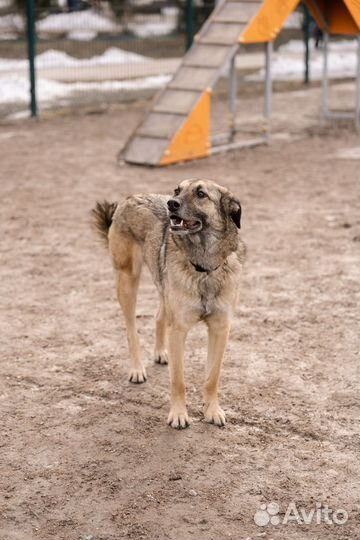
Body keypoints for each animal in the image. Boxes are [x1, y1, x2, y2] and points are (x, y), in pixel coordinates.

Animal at [91, 179, 246, 428]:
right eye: (177, 190)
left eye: (201, 194)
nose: (171, 204)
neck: (203, 268)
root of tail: (130, 198)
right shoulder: (179, 330)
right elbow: (178, 379)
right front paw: (179, 415)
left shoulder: (220, 329)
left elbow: (212, 377)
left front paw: (212, 411)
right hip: (127, 281)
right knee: (131, 330)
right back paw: (137, 369)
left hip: (163, 288)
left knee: (158, 317)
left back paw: (160, 352)